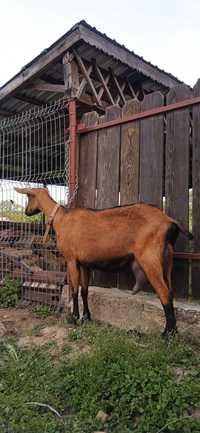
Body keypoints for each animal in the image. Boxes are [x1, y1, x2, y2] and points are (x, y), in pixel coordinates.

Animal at [15, 186, 192, 334]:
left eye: (29, 196)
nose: (26, 212)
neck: (61, 218)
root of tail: (170, 221)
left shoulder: (71, 260)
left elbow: (74, 290)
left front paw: (74, 318)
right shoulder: (84, 264)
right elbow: (85, 291)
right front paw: (86, 317)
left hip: (150, 259)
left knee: (164, 293)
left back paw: (167, 335)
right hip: (167, 259)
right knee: (170, 292)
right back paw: (173, 331)